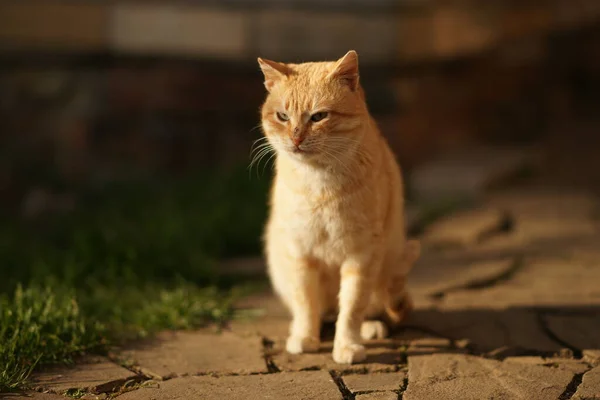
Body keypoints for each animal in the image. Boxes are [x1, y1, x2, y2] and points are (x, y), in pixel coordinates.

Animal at [258, 49, 422, 362]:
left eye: (319, 116)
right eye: (283, 116)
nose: (296, 138)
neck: (320, 183)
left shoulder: (361, 256)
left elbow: (352, 309)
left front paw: (346, 346)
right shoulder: (300, 253)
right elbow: (306, 303)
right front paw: (305, 338)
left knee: (369, 306)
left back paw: (370, 328)